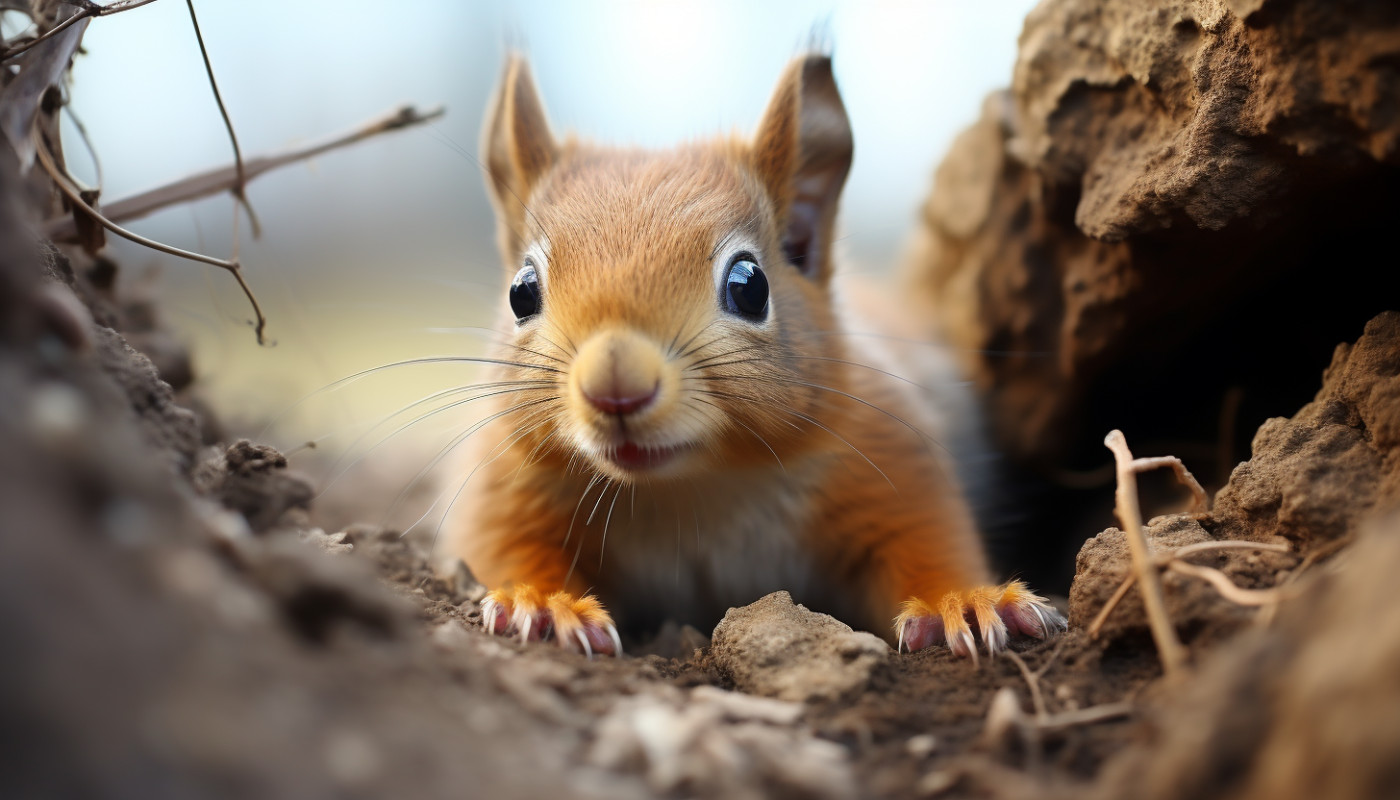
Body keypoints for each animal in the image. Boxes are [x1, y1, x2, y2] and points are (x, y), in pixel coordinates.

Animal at [444, 53, 1066, 659]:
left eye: (750, 286)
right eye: (521, 291)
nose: (616, 387)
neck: (693, 487)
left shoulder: (891, 461)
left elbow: (927, 541)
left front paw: (963, 601)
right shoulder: (508, 485)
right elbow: (504, 546)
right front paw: (543, 604)